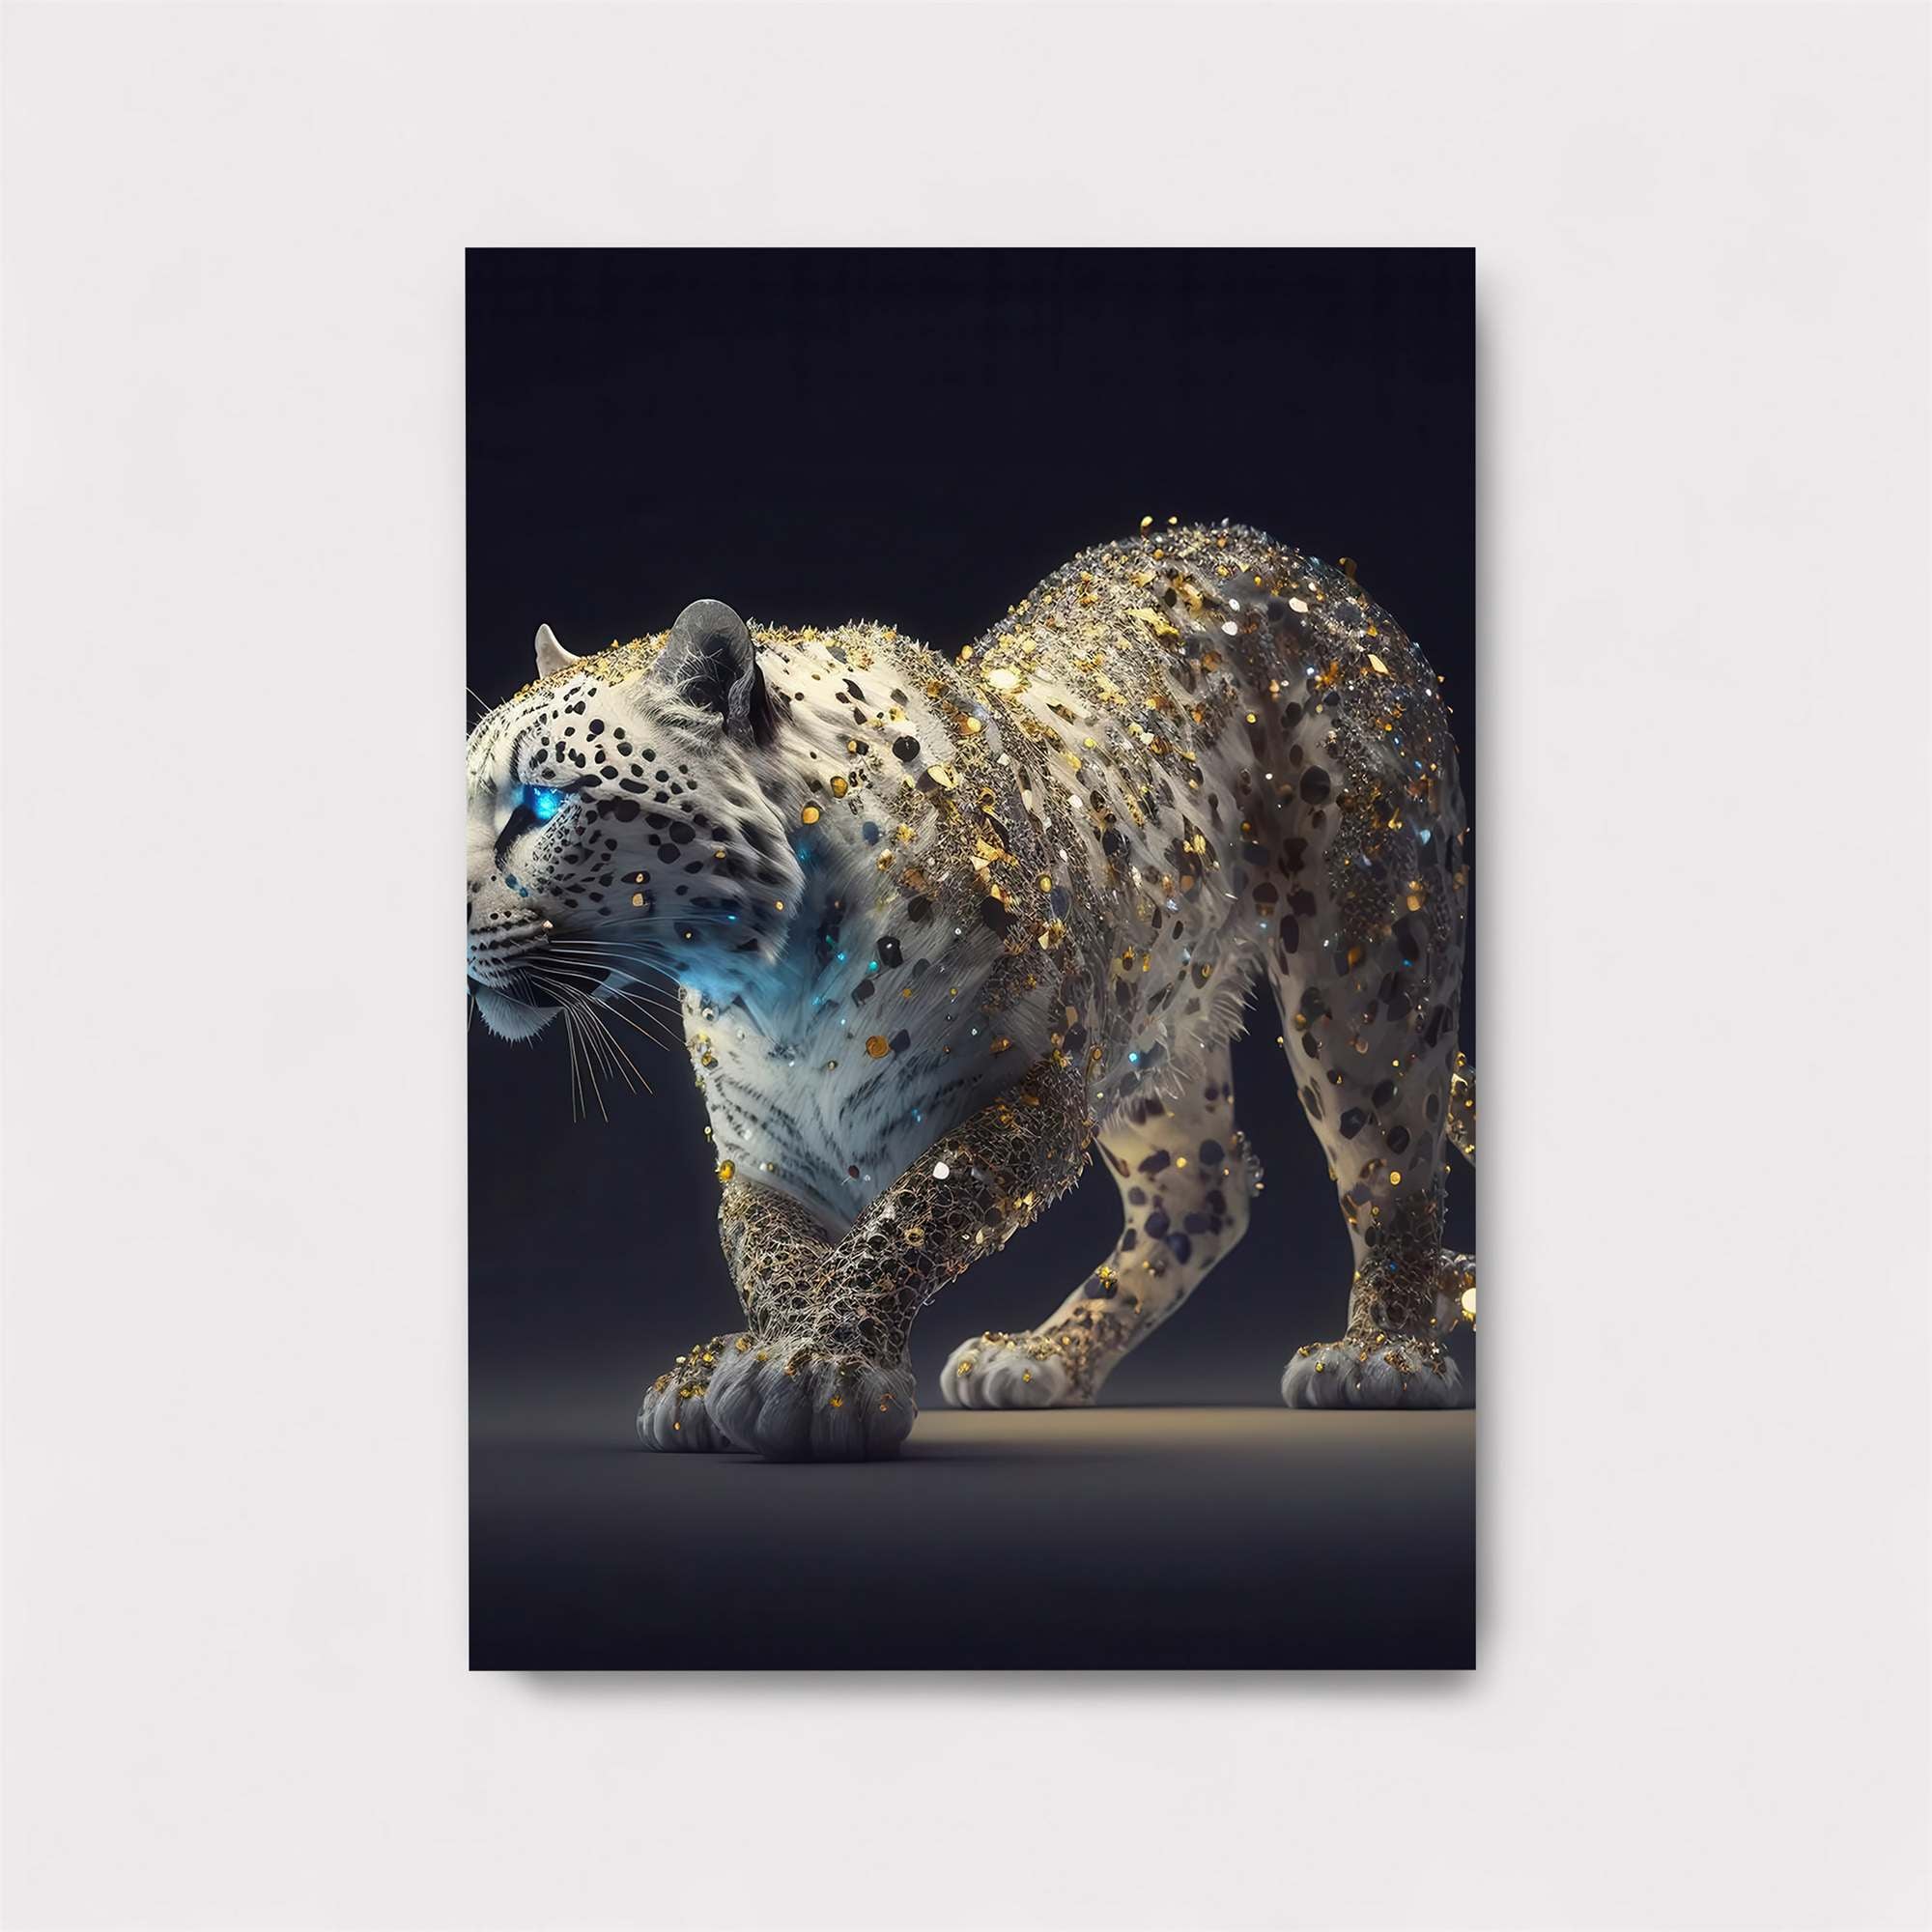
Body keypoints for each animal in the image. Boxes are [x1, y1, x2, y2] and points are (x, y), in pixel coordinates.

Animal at [466, 521, 1477, 1460]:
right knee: (1204, 1186)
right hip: (1141, 1015)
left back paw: (1384, 1356)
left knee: (1389, 1156)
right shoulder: (765, 1154)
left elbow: (908, 1219)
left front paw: (822, 1370)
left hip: (1368, 961)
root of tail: (1268, 550)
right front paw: (737, 1363)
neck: (772, 983)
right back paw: (1044, 1357)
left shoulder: (1033, 1092)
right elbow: (771, 1258)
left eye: (543, 807)